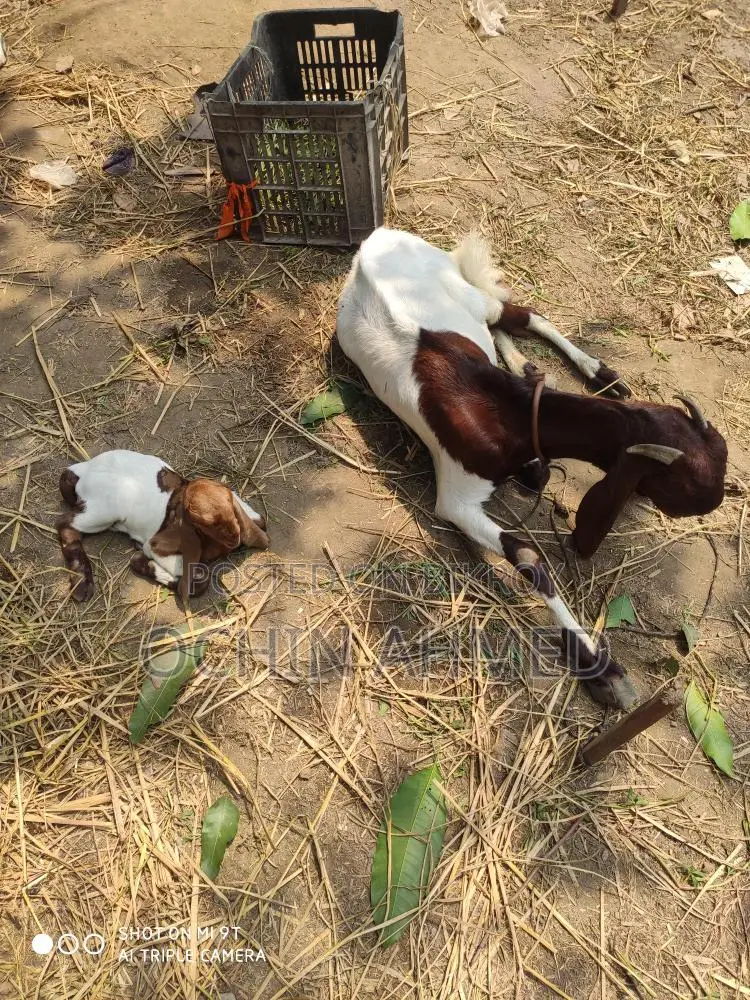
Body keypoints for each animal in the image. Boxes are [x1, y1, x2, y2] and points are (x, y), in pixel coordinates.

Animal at [57, 450, 268, 603]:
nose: (234, 538)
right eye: (202, 521)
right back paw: (81, 583)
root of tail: (81, 471)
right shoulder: (158, 547)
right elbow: (199, 577)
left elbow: (261, 521)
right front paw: (143, 563)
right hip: (105, 510)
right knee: (65, 523)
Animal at [336, 227, 727, 709]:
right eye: (685, 486)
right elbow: (528, 556)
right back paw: (537, 367)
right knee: (509, 319)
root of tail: (377, 236)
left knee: (519, 316)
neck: (512, 412)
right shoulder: (456, 498)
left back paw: (597, 373)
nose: (717, 499)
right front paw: (602, 668)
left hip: (466, 294)